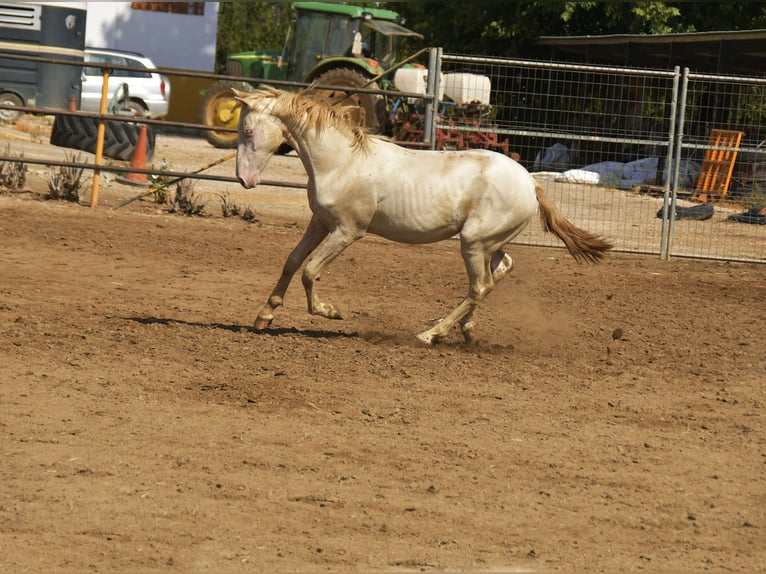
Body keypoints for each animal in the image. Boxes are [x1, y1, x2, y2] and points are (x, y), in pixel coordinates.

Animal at [234, 86, 612, 346]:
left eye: (248, 131)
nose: (244, 179)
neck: (341, 161)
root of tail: (531, 184)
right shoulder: (320, 223)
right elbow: (292, 261)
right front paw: (264, 316)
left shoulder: (347, 230)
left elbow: (310, 271)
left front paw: (330, 311)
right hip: (489, 243)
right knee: (499, 272)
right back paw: (467, 331)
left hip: (472, 243)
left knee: (479, 286)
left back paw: (430, 334)